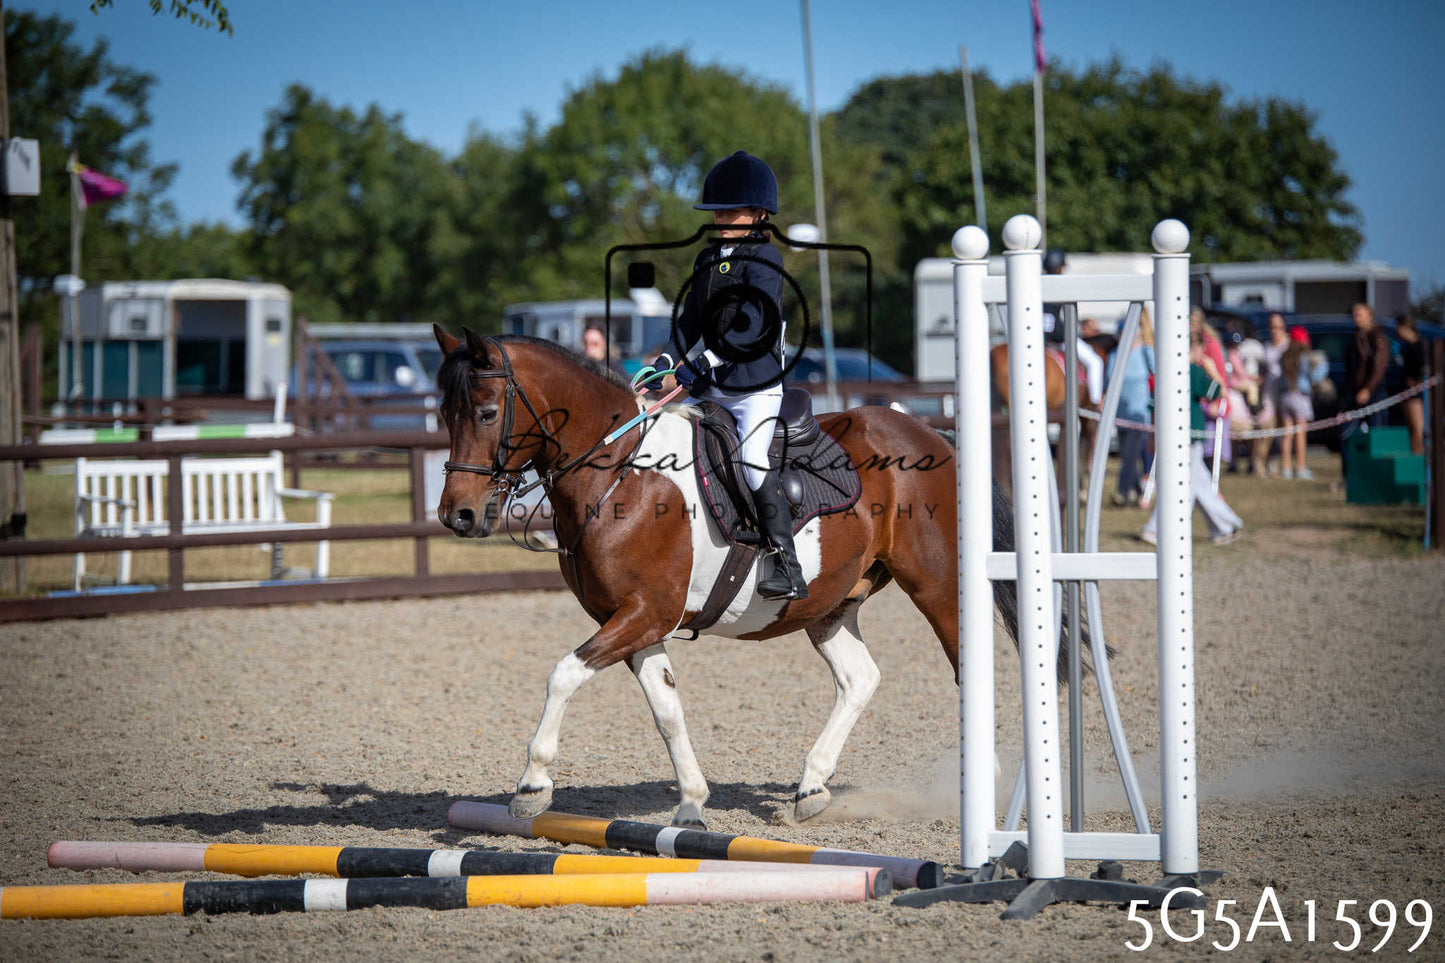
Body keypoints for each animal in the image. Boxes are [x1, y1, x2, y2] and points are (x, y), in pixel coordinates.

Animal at [432, 328, 1047, 829]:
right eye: (443, 414)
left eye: (486, 413)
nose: (457, 515)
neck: (619, 474)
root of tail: (931, 433)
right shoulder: (634, 622)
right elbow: (667, 711)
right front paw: (690, 804)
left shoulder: (645, 612)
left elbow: (563, 674)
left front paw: (532, 786)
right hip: (829, 605)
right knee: (859, 679)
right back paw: (812, 787)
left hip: (937, 587)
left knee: (965, 667)